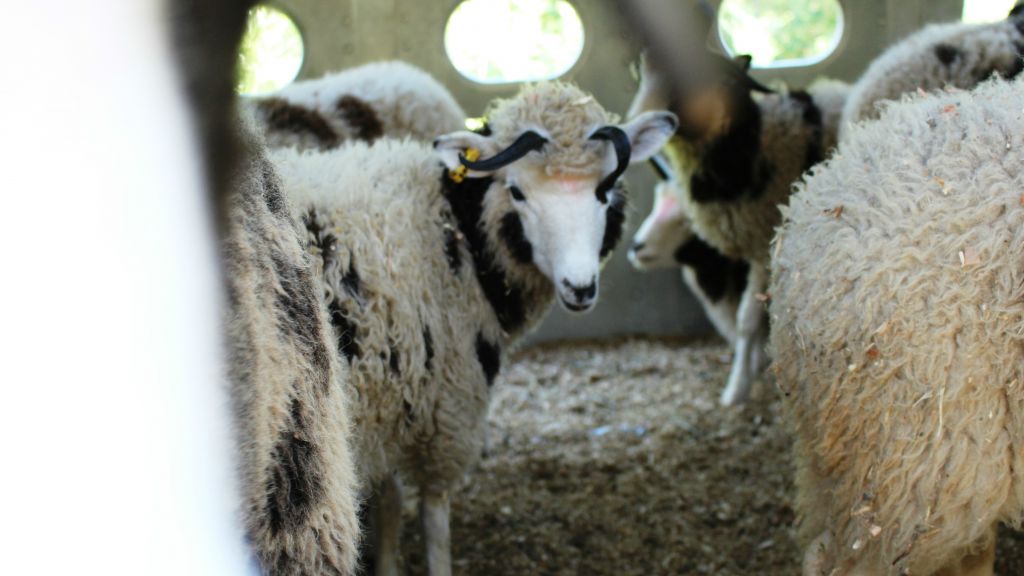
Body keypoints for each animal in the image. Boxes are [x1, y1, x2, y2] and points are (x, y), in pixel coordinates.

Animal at [268, 81, 677, 575]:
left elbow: (388, 505)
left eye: (605, 187)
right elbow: (433, 515)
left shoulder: (387, 404)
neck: (450, 221)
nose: (579, 287)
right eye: (517, 191)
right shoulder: (446, 406)